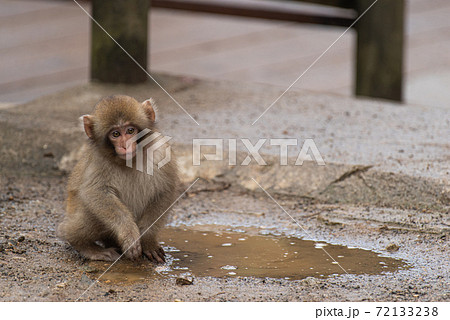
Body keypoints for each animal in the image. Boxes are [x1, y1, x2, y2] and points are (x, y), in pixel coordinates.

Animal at [59, 95, 178, 262]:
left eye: (130, 130)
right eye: (115, 134)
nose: (125, 145)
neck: (130, 161)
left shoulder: (161, 151)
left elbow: (165, 191)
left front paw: (148, 240)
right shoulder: (98, 160)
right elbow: (96, 192)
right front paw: (129, 233)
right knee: (89, 212)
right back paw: (86, 246)